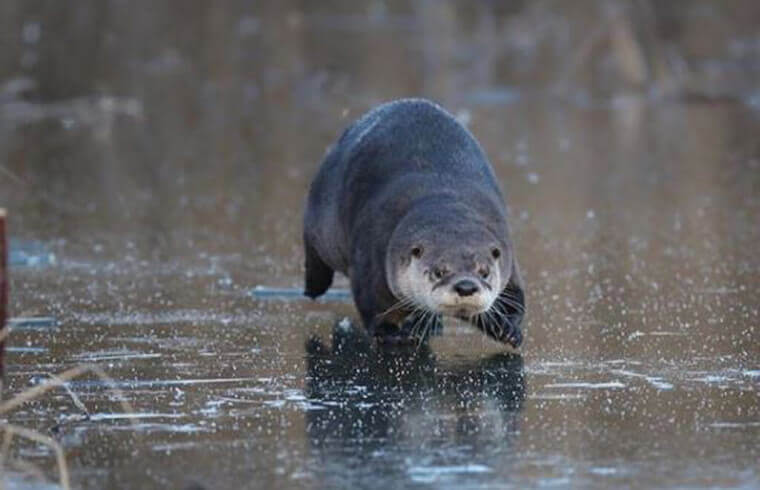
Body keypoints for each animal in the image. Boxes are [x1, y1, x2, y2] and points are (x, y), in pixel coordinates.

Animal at [303, 99, 525, 347]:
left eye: (484, 272)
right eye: (439, 272)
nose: (466, 286)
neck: (444, 198)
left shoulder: (506, 254)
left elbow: (514, 298)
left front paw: (507, 329)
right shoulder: (372, 257)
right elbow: (374, 306)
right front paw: (391, 333)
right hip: (321, 218)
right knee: (313, 249)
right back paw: (313, 287)